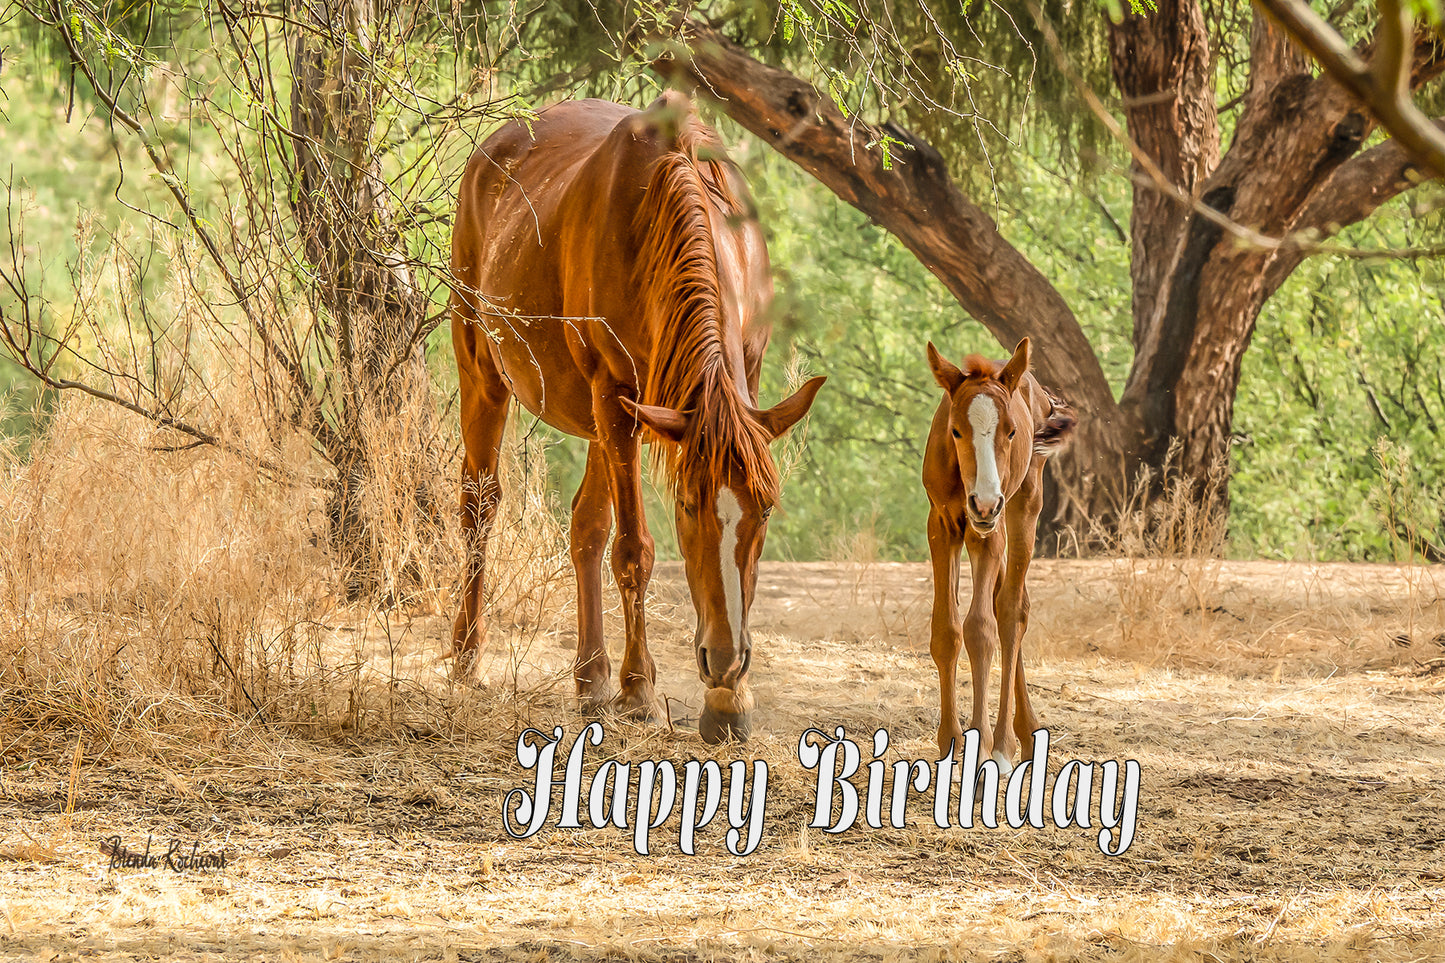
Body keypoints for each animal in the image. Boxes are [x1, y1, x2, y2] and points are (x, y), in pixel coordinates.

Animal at [447, 92, 825, 743]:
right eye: (688, 506)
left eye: (766, 510)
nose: (724, 660)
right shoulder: (615, 393)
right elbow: (634, 550)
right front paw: (639, 691)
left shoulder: (735, 381)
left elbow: (607, 534)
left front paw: (730, 698)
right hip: (486, 373)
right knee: (480, 502)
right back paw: (469, 657)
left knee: (585, 525)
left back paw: (590, 679)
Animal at [921, 338, 1077, 771]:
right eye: (955, 430)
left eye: (1010, 431)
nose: (986, 502)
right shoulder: (942, 525)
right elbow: (946, 631)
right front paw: (950, 741)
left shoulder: (986, 534)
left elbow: (980, 629)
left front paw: (982, 747)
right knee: (1006, 600)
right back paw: (1026, 731)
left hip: (1022, 505)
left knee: (1011, 611)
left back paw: (1007, 743)